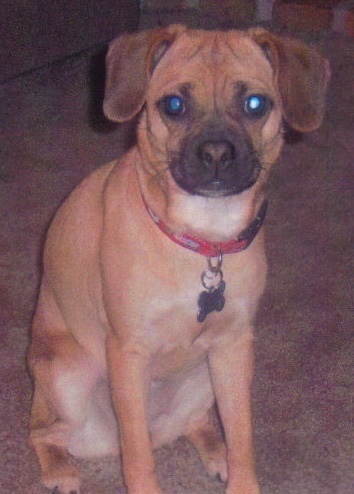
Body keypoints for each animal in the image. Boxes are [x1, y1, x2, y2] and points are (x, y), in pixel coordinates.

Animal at [27, 25, 330, 492]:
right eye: (174, 105)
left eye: (255, 104)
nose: (217, 154)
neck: (202, 241)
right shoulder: (128, 352)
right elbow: (138, 456)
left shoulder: (234, 346)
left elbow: (242, 435)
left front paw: (240, 477)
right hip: (70, 383)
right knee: (41, 431)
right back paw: (60, 469)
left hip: (205, 376)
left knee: (195, 423)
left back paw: (214, 449)